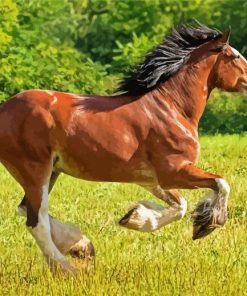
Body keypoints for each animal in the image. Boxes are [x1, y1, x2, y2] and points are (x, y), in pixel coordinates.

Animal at [0, 23, 246, 276]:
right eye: (235, 56)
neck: (172, 107)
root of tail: (4, 110)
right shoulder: (174, 171)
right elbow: (221, 183)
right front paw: (207, 225)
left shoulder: (152, 179)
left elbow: (180, 205)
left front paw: (133, 217)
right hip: (34, 170)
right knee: (36, 221)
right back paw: (70, 270)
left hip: (50, 171)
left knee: (26, 210)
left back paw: (81, 246)